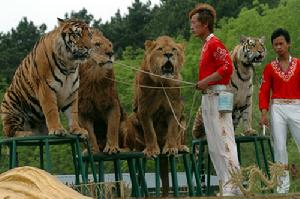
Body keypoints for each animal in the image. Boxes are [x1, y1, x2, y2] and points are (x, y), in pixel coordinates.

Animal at [258, 27, 300, 193]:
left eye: (280, 43)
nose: (278, 48)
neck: (283, 59)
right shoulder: (267, 74)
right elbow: (264, 91)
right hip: (277, 120)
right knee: (281, 150)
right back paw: (282, 189)